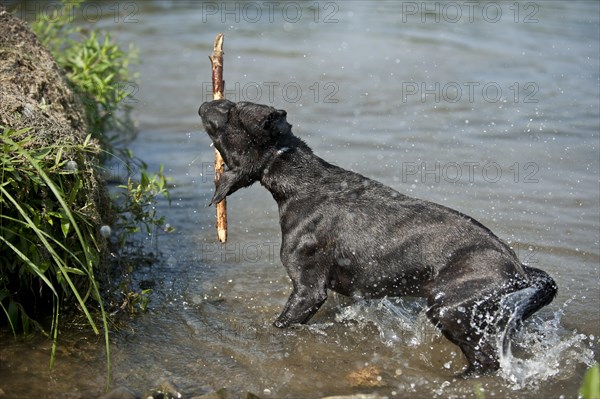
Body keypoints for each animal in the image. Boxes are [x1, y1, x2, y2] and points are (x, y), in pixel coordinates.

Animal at [200, 100, 556, 376]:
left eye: (233, 112)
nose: (207, 103)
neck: (300, 182)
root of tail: (518, 268)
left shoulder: (308, 290)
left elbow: (281, 323)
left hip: (449, 308)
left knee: (487, 361)